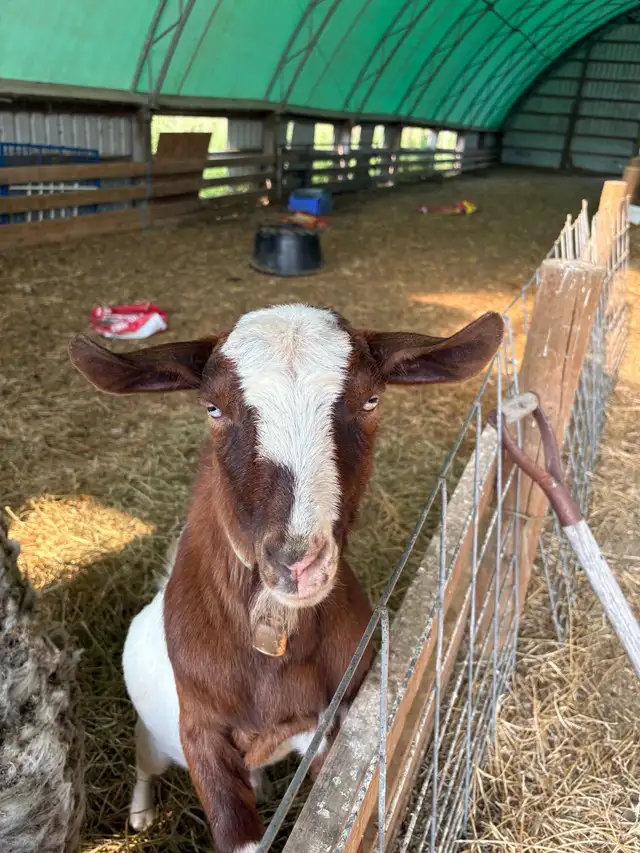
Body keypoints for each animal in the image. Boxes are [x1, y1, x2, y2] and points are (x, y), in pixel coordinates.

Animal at [69, 304, 503, 853]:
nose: (296, 561)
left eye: (371, 399)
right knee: (145, 761)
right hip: (154, 736)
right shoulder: (200, 732)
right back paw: (141, 813)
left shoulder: (332, 722)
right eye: (213, 409)